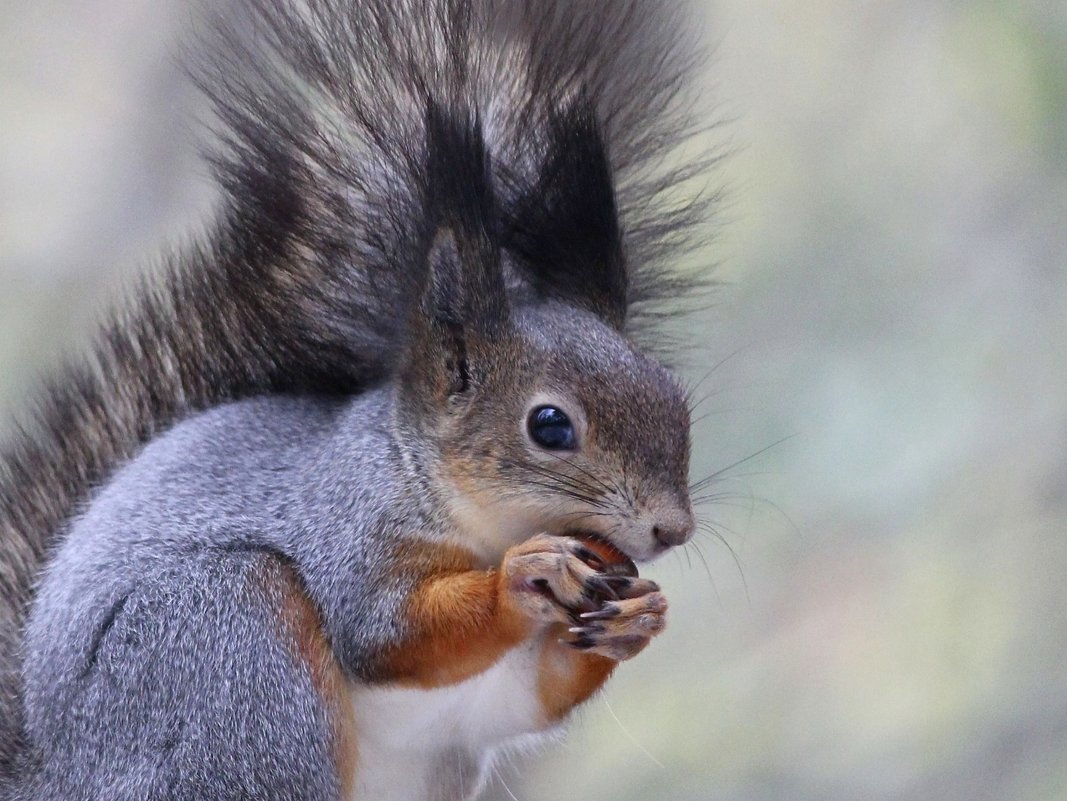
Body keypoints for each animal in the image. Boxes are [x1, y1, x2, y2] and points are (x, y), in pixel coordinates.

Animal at [0, 1, 717, 801]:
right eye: (551, 425)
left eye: (672, 394)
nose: (671, 529)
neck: (470, 516)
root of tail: (59, 776)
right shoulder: (351, 526)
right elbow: (386, 631)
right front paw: (523, 577)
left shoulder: (491, 697)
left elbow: (526, 696)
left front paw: (638, 616)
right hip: (226, 644)